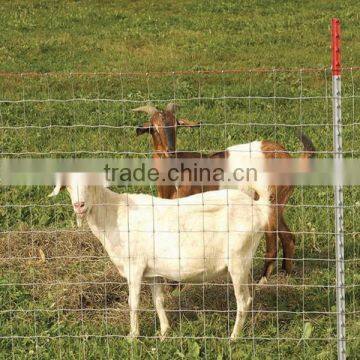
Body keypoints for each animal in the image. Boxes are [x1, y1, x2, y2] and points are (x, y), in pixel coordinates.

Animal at [49, 174, 272, 340]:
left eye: (90, 183)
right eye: (68, 186)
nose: (79, 205)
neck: (114, 213)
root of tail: (259, 208)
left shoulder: (135, 266)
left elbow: (133, 302)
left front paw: (133, 336)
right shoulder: (153, 272)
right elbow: (158, 300)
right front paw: (164, 332)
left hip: (238, 260)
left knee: (243, 300)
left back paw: (233, 338)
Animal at [135, 103, 316, 282]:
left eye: (176, 125)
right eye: (154, 128)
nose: (170, 151)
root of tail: (288, 158)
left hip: (269, 199)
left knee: (272, 241)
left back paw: (262, 280)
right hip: (279, 202)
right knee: (288, 236)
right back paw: (287, 274)